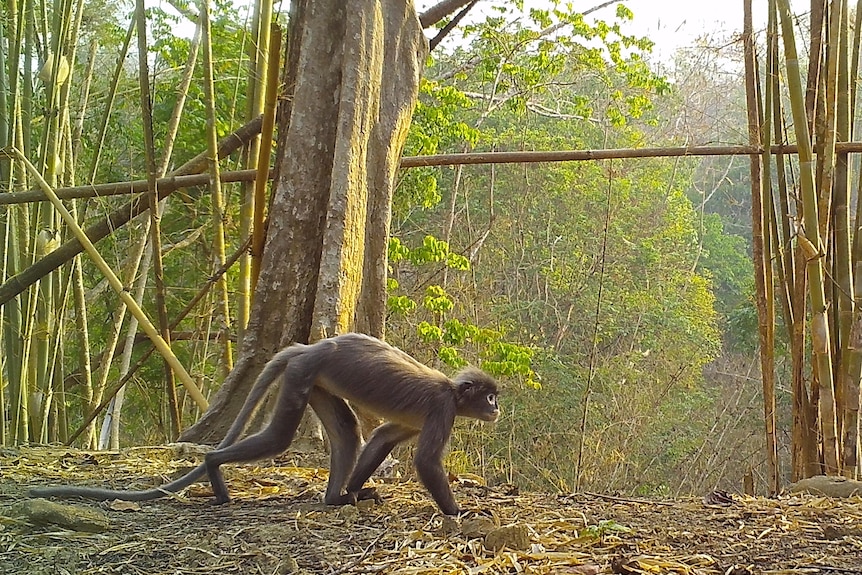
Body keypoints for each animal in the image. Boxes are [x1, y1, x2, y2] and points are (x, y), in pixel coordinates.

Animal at [32, 332, 500, 516]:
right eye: (490, 396)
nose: (496, 409)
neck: (453, 392)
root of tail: (311, 346)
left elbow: (384, 436)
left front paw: (356, 491)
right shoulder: (442, 409)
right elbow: (425, 462)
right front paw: (461, 512)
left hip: (313, 379)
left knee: (347, 431)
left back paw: (336, 498)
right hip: (304, 373)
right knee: (279, 438)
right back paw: (215, 466)